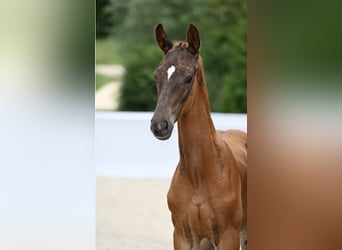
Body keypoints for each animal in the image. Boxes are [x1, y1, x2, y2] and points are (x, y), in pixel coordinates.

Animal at [150, 23, 246, 250]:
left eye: (188, 77)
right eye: (157, 75)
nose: (159, 125)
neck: (199, 177)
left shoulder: (229, 237)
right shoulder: (182, 236)